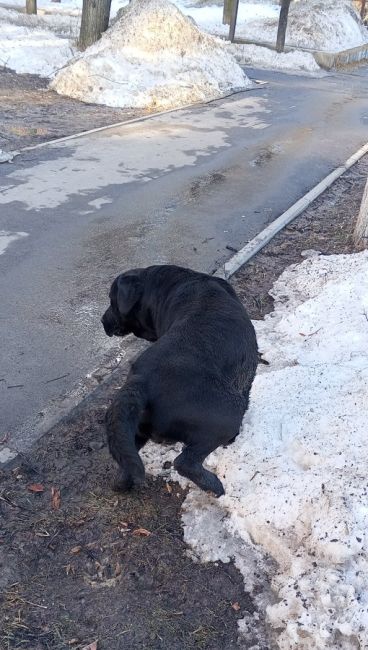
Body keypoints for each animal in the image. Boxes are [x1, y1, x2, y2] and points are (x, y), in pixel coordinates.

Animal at [101, 264, 258, 496]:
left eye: (113, 302)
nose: (103, 321)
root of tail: (140, 381)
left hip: (130, 427)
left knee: (126, 464)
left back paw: (122, 483)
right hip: (228, 414)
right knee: (184, 462)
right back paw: (214, 485)